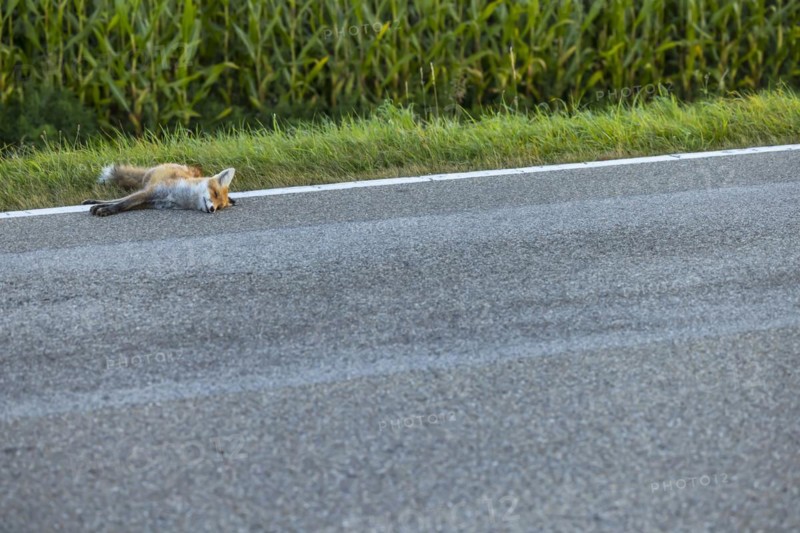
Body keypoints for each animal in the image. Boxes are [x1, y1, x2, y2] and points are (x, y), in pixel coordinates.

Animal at [83, 163, 236, 216]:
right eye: (215, 193)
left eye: (220, 206)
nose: (212, 209)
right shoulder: (149, 193)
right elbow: (122, 204)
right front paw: (106, 210)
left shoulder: (150, 203)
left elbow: (123, 205)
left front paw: (103, 209)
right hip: (146, 188)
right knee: (119, 199)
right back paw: (92, 202)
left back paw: (93, 204)